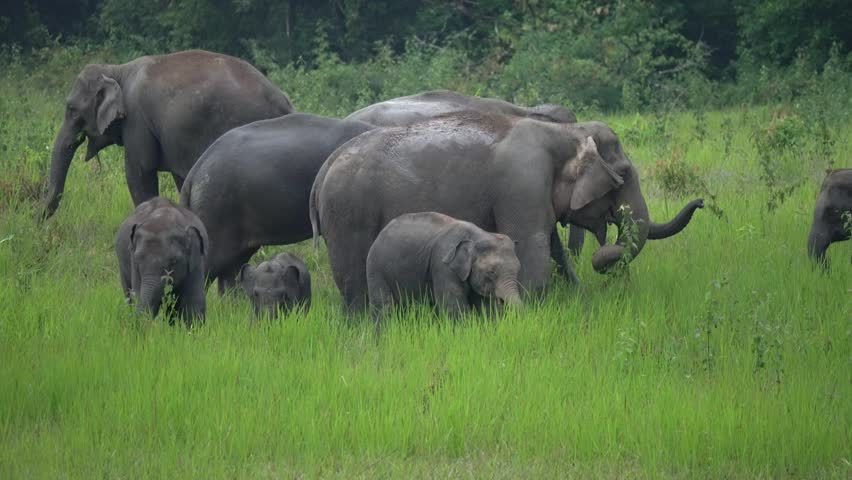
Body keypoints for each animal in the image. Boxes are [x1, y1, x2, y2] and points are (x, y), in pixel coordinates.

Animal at [44, 49, 295, 219]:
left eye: (71, 109)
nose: (40, 221)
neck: (117, 69)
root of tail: (284, 101)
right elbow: (181, 178)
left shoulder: (137, 121)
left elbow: (139, 173)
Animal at [310, 111, 682, 312]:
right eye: (623, 174)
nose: (605, 256)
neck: (563, 133)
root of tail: (325, 167)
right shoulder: (522, 184)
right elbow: (533, 251)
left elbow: (556, 251)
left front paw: (580, 301)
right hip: (348, 214)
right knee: (353, 281)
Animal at [367, 212, 522, 326]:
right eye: (491, 271)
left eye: (518, 270)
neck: (479, 236)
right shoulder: (443, 265)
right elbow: (453, 308)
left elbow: (485, 307)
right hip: (376, 268)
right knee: (384, 307)